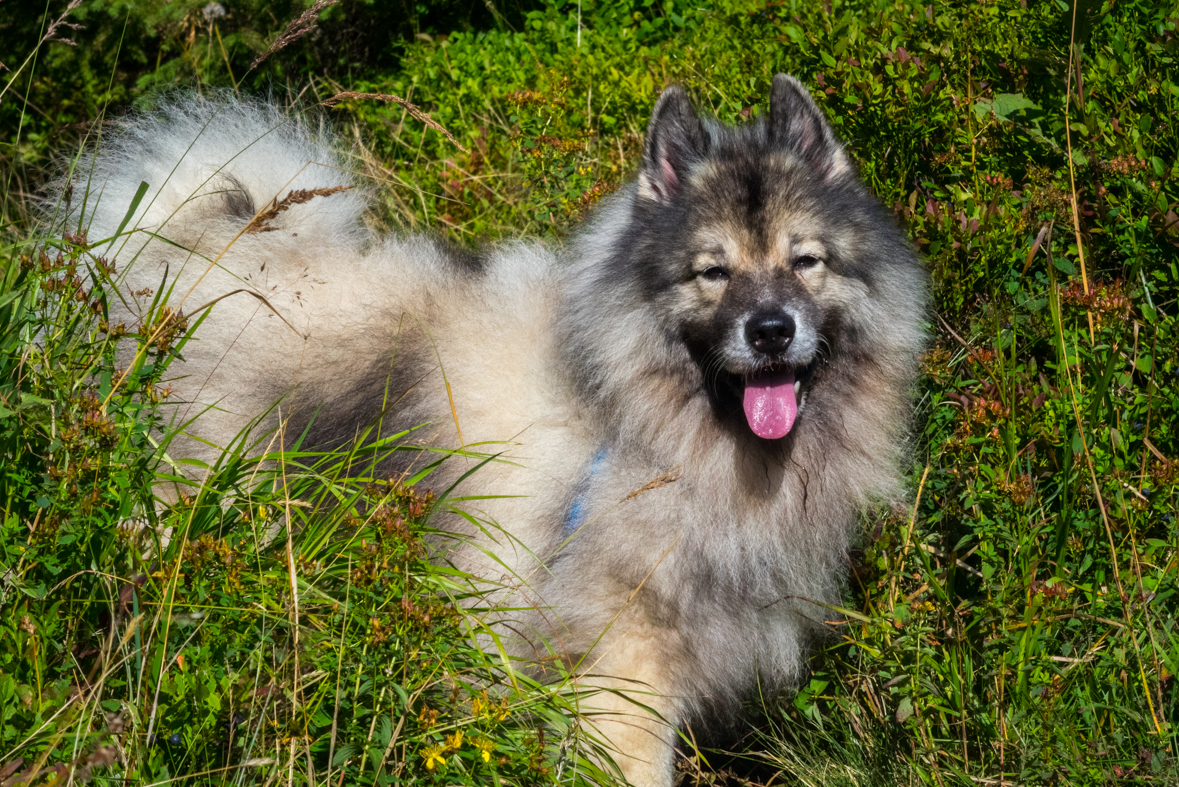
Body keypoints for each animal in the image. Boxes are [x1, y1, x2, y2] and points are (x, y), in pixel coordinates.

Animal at [57, 75, 929, 787]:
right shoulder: (624, 664)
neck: (635, 424)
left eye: (805, 260)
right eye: (711, 272)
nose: (771, 330)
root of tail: (208, 249)